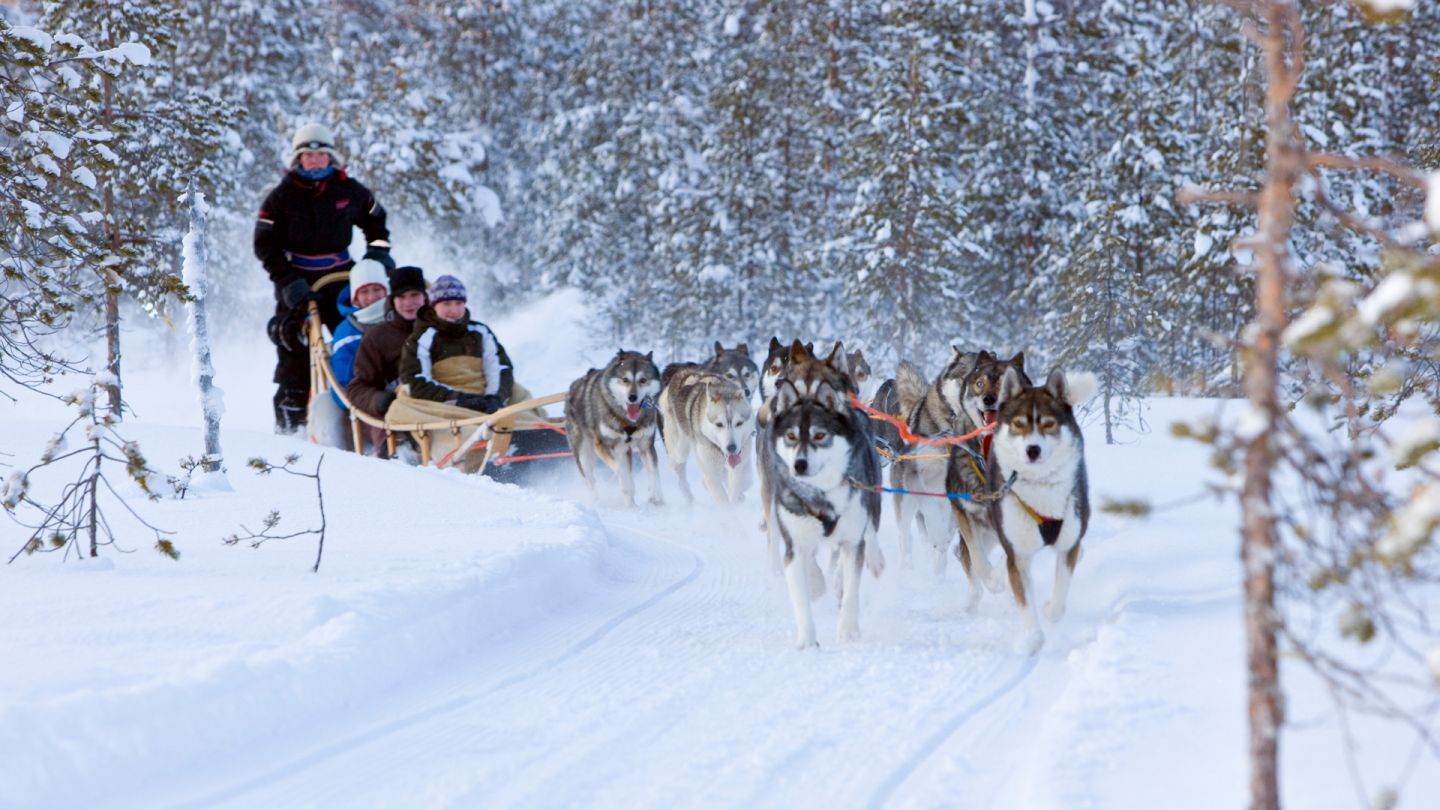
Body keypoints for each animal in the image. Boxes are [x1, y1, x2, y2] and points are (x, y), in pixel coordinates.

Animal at [567, 350, 668, 507]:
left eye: (643, 380)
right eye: (625, 379)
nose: (632, 397)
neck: (627, 420)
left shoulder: (646, 446)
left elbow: (654, 475)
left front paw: (658, 499)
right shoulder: (602, 446)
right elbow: (623, 473)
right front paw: (628, 485)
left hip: (623, 451)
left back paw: (631, 505)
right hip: (584, 454)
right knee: (591, 480)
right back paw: (598, 502)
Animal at [659, 367, 760, 504]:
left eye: (739, 423)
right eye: (719, 424)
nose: (731, 447)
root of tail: (681, 371)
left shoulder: (740, 460)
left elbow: (742, 481)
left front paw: (738, 496)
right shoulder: (711, 472)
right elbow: (724, 501)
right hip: (680, 451)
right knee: (678, 467)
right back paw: (687, 494)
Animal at [771, 374, 881, 645]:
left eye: (820, 435)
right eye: (791, 436)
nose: (799, 464)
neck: (821, 494)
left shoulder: (852, 539)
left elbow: (851, 590)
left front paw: (849, 631)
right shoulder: (794, 543)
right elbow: (801, 597)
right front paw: (807, 640)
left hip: (871, 499)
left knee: (869, 534)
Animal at [944, 347, 1036, 605]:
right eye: (980, 384)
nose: (989, 399)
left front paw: (1000, 578)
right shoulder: (963, 510)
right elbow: (976, 556)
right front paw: (992, 580)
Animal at [984, 366, 1094, 648]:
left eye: (1048, 423)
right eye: (1018, 424)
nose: (1032, 449)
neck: (1040, 486)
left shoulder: (1067, 546)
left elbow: (1059, 602)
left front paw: (1049, 611)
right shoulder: (1019, 555)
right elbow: (1024, 601)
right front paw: (1033, 639)